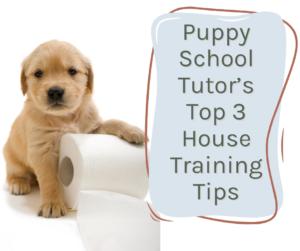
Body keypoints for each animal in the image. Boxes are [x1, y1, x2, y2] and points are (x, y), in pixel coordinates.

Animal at [3, 39, 146, 218]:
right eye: (38, 73)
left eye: (72, 71)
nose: (55, 91)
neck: (65, 118)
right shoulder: (41, 149)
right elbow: (49, 178)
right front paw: (52, 203)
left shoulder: (92, 129)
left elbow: (111, 122)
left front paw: (132, 130)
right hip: (11, 157)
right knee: (14, 174)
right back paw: (19, 183)